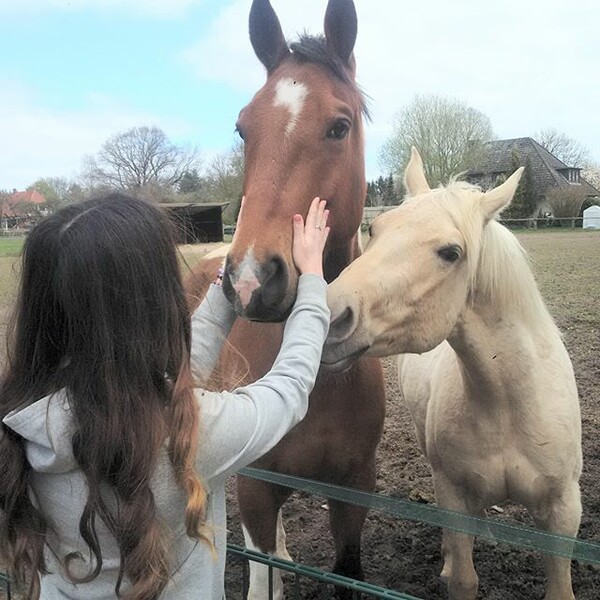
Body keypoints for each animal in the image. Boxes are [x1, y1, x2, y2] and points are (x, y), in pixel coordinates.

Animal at [186, 2, 384, 596]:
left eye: (339, 126)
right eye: (242, 128)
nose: (251, 279)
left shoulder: (354, 491)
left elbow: (346, 573)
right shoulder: (254, 485)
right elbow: (261, 575)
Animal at [324, 146, 580, 600]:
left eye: (450, 252)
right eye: (374, 229)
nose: (329, 315)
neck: (509, 404)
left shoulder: (564, 510)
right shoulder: (454, 495)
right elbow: (463, 576)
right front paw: (451, 565)